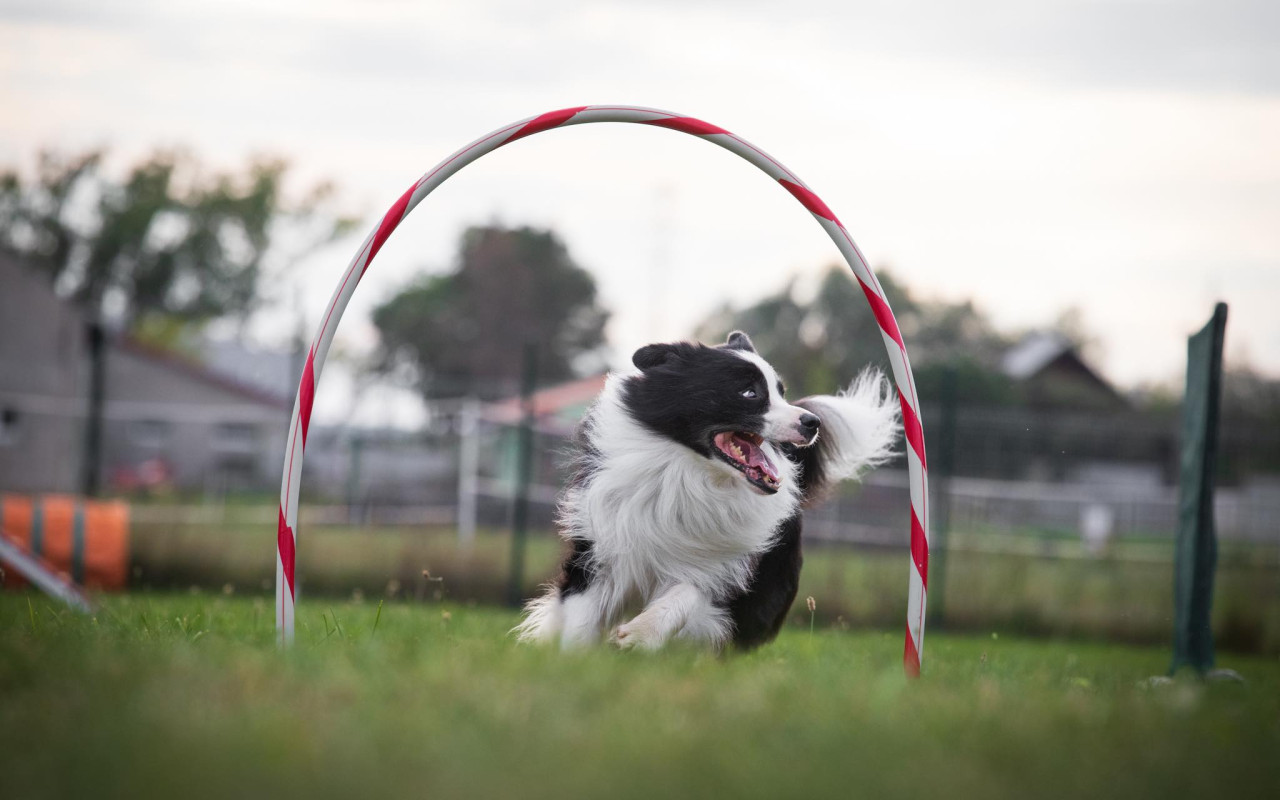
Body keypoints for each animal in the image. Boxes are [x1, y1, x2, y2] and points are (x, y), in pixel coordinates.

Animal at [512, 330, 901, 650]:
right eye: (749, 392)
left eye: (781, 392)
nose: (811, 422)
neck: (688, 472)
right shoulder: (599, 554)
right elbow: (580, 621)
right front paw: (572, 660)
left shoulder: (724, 568)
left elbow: (689, 591)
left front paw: (639, 633)